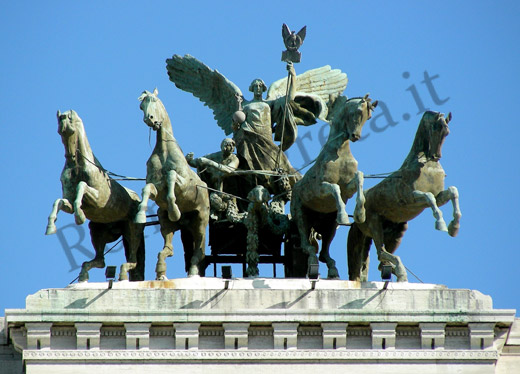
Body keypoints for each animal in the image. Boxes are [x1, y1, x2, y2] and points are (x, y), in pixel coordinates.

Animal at [135, 90, 210, 278]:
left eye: (154, 100)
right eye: (141, 106)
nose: (149, 119)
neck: (164, 151)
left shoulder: (184, 186)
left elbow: (171, 176)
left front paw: (175, 210)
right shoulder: (156, 188)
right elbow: (147, 188)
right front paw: (140, 215)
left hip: (201, 221)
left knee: (199, 250)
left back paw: (192, 271)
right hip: (164, 220)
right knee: (168, 249)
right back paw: (160, 272)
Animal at [288, 95, 378, 280]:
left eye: (369, 117)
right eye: (358, 111)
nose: (355, 136)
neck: (340, 153)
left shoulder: (348, 189)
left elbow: (359, 177)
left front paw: (360, 214)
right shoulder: (320, 189)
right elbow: (335, 188)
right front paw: (344, 216)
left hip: (329, 225)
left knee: (323, 253)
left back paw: (332, 269)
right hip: (301, 216)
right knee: (306, 246)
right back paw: (312, 262)